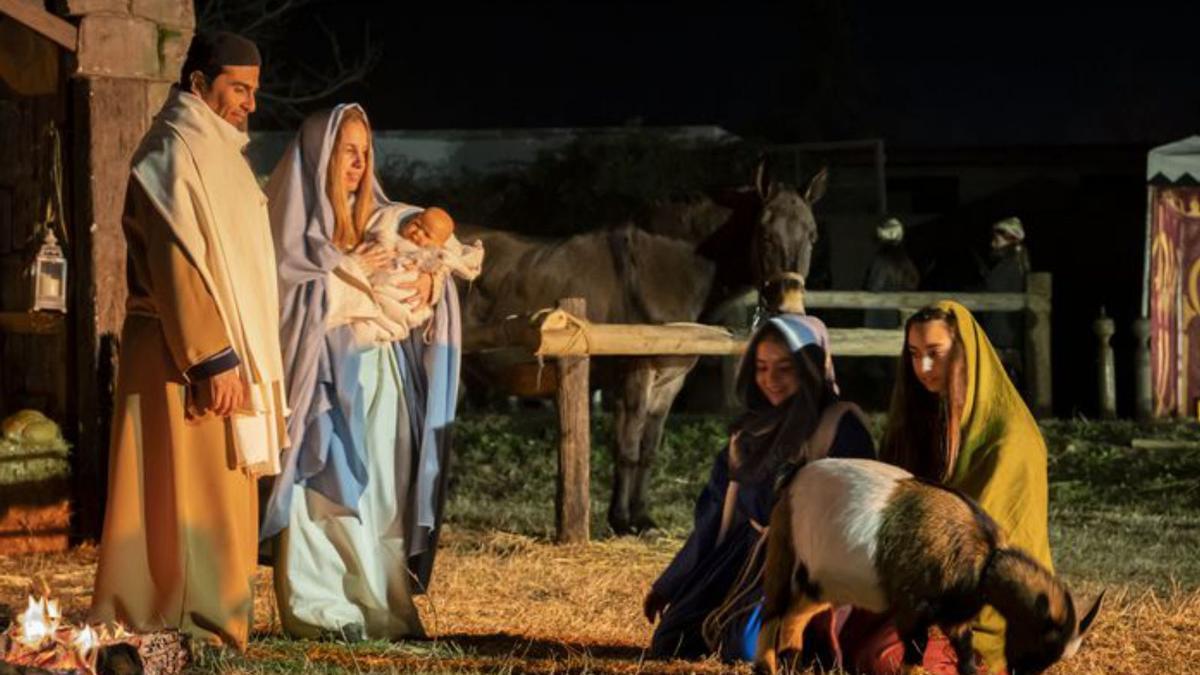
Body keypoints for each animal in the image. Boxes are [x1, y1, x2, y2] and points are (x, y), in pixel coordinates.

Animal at [758, 456, 1104, 672]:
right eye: (1045, 642)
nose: (1019, 671)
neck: (986, 559)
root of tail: (796, 473)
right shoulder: (912, 610)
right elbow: (914, 658)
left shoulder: (955, 617)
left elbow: (966, 659)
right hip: (784, 550)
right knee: (772, 612)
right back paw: (765, 666)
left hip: (820, 582)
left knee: (795, 618)